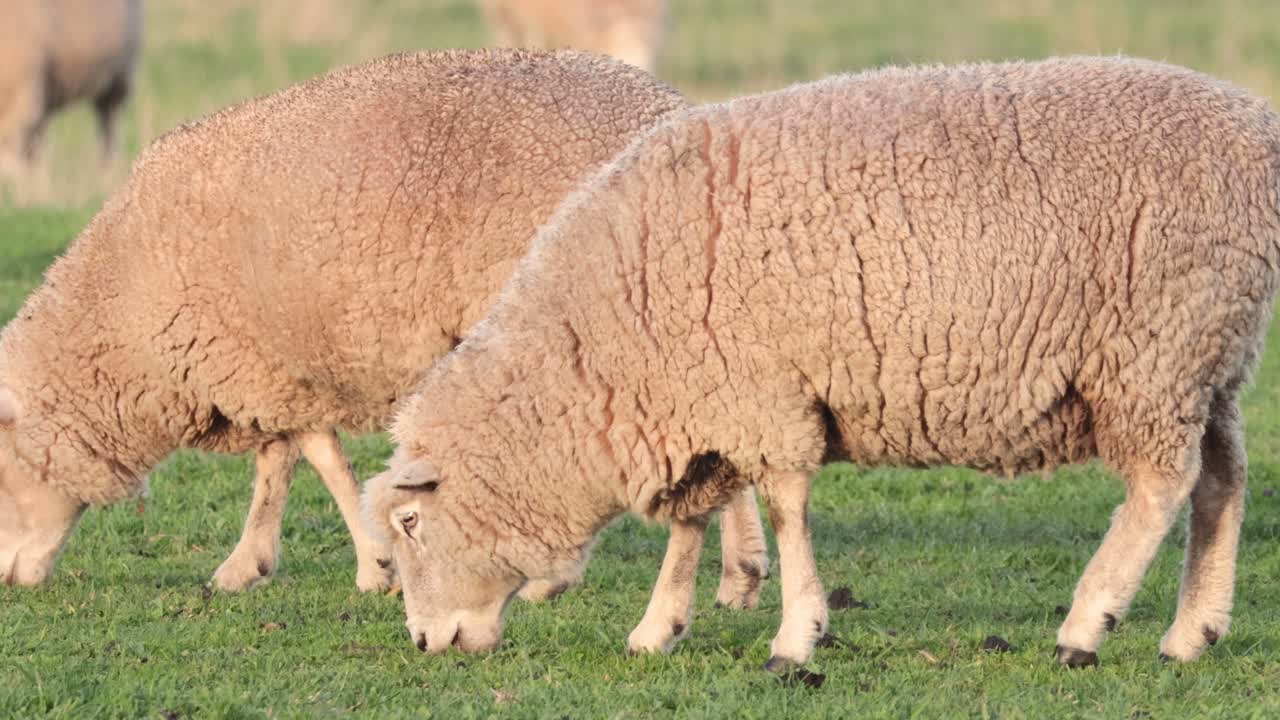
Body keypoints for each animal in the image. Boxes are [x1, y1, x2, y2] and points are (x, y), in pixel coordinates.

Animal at [0, 47, 771, 605]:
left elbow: (315, 460)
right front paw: (255, 562)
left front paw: (369, 566)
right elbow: (288, 460)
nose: (6, 582)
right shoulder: (271, 360)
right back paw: (741, 574)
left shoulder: (265, 360)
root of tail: (673, 110)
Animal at [368, 56, 1280, 669]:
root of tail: (1254, 124)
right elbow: (691, 521)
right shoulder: (704, 401)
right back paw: (1192, 633)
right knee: (1223, 481)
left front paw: (795, 637)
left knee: (1163, 485)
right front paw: (658, 628)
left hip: (1152, 351)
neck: (602, 341)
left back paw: (1086, 627)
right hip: (1210, 354)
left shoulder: (764, 397)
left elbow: (784, 512)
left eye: (410, 524)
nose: (422, 640)